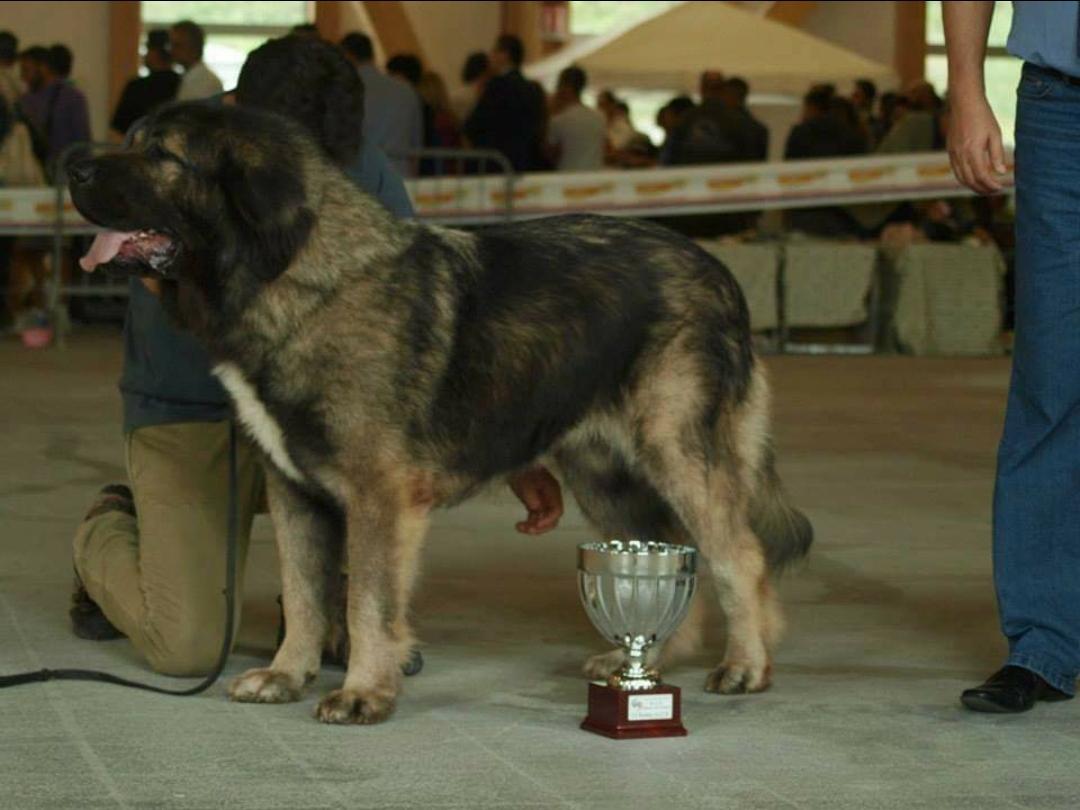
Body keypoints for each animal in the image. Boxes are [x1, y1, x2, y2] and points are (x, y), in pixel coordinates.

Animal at [69, 103, 812, 730]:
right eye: (133, 140)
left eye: (161, 154)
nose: (74, 165)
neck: (296, 279)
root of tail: (718, 270)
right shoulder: (295, 490)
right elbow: (305, 594)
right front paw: (286, 675)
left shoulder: (376, 496)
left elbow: (367, 602)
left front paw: (363, 691)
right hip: (603, 474)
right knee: (666, 545)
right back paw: (649, 660)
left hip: (677, 451)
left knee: (736, 554)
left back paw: (743, 666)